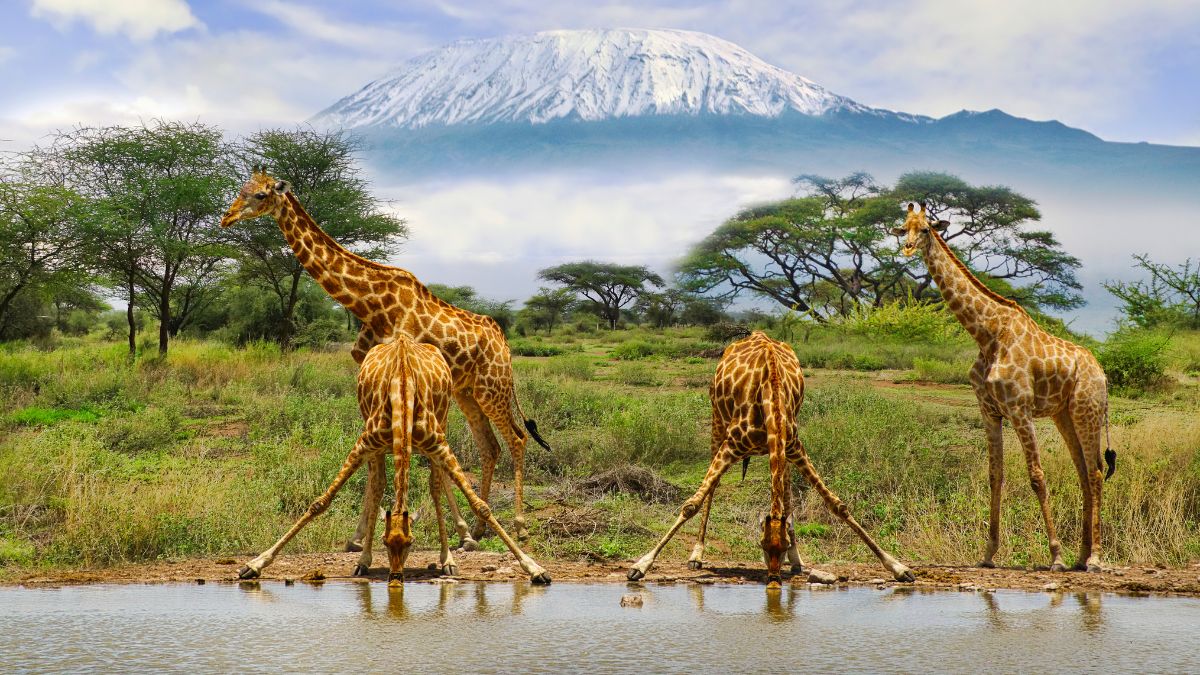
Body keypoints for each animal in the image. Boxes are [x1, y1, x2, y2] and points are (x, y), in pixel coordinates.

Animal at [219, 169, 549, 547]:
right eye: (241, 190)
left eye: (260, 195)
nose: (226, 218)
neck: (369, 302)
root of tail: (504, 343)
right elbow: (377, 454)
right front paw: (359, 536)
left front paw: (453, 531)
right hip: (467, 391)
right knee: (490, 447)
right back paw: (480, 529)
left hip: (492, 387)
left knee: (517, 439)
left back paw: (519, 526)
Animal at [235, 333, 552, 586]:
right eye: (386, 542)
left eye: (411, 543)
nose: (396, 577)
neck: (403, 390)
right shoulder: (365, 443)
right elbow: (320, 502)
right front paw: (253, 565)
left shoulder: (438, 444)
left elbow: (481, 506)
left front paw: (535, 569)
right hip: (376, 442)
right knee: (377, 485)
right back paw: (363, 560)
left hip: (445, 421)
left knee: (436, 484)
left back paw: (447, 559)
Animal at [624, 331, 912, 583]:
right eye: (762, 545)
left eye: (782, 546)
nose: (774, 577)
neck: (770, 398)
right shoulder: (731, 446)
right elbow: (691, 505)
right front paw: (640, 566)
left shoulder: (794, 446)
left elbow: (838, 505)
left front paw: (898, 567)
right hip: (717, 423)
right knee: (712, 489)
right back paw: (697, 555)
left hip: (783, 449)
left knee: (786, 487)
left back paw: (798, 561)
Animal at [892, 201, 1113, 569]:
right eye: (903, 228)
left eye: (925, 229)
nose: (907, 248)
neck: (987, 334)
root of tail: (1101, 373)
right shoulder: (989, 410)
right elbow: (995, 475)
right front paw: (988, 553)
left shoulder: (1019, 409)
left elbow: (1037, 476)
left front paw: (1055, 555)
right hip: (1063, 414)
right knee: (1083, 472)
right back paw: (1082, 556)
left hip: (1087, 410)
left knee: (1095, 473)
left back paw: (1095, 557)